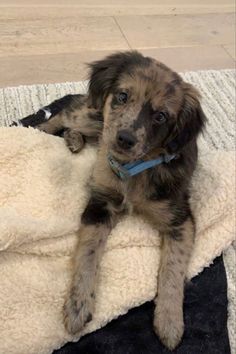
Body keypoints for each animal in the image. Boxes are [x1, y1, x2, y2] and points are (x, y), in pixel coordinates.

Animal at [20, 51, 206, 350]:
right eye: (122, 95)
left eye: (161, 116)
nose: (124, 139)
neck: (133, 169)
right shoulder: (100, 204)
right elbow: (88, 252)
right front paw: (78, 306)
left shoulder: (179, 218)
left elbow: (172, 269)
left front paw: (169, 322)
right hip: (93, 116)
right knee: (65, 115)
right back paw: (41, 129)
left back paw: (74, 141)